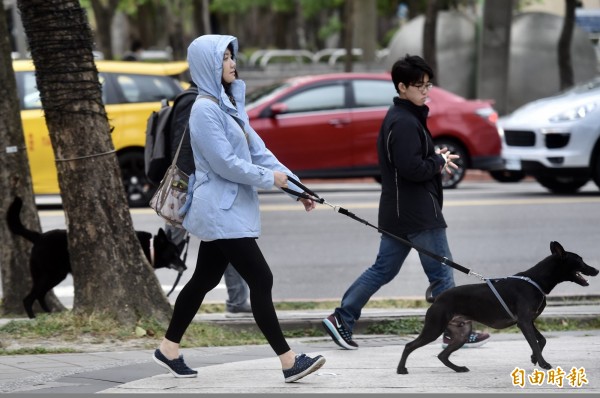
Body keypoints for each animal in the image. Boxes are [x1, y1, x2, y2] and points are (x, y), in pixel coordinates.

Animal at [5, 197, 186, 318]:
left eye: (179, 253)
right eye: (174, 254)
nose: (185, 267)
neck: (150, 246)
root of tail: (38, 237)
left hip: (50, 276)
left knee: (39, 296)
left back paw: (49, 315)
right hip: (52, 275)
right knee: (29, 299)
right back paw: (34, 318)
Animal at [396, 241, 596, 374]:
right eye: (580, 261)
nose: (596, 270)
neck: (535, 280)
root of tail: (437, 298)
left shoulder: (528, 321)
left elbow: (542, 340)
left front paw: (534, 358)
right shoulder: (524, 322)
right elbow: (535, 343)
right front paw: (543, 364)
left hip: (462, 333)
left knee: (442, 356)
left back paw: (458, 368)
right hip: (434, 327)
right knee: (409, 345)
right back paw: (401, 369)